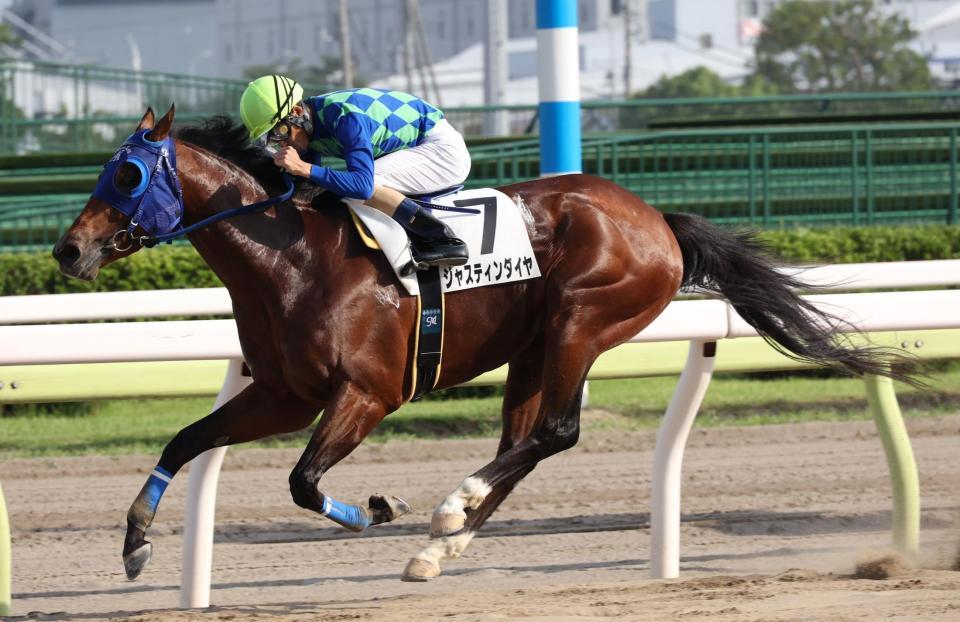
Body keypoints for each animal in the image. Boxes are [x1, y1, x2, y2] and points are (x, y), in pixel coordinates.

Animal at [56, 106, 912, 584]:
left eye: (127, 175)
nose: (68, 251)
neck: (290, 258)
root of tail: (658, 220)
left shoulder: (367, 393)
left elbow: (302, 482)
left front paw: (379, 507)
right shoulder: (281, 394)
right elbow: (186, 438)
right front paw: (134, 542)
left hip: (581, 319)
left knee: (556, 430)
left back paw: (448, 508)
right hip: (535, 345)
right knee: (524, 438)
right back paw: (444, 543)